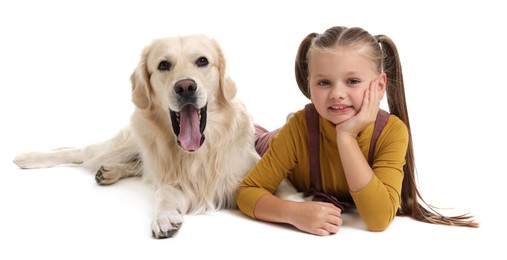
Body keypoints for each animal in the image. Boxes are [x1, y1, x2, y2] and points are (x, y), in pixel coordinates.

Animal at [11, 34, 262, 238]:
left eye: (202, 61)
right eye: (164, 65)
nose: (185, 87)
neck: (202, 151)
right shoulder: (177, 181)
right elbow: (165, 192)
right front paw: (163, 217)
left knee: (136, 166)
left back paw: (108, 171)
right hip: (127, 142)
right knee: (80, 152)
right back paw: (27, 158)